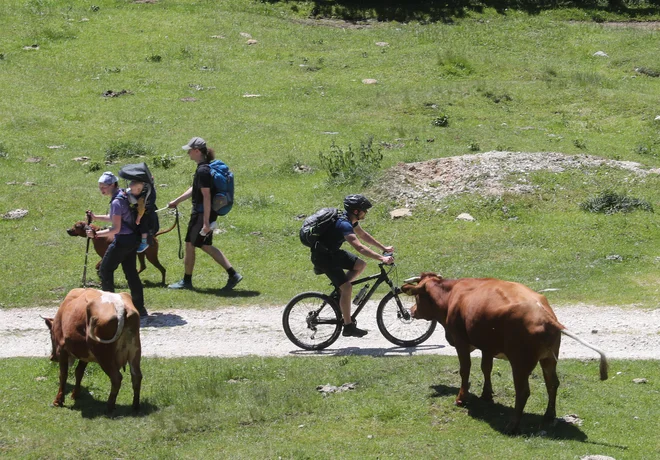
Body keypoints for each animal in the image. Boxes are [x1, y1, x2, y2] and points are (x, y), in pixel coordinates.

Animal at [400, 272, 604, 434]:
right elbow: (486, 368)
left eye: (417, 298)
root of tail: (544, 314)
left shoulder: (460, 342)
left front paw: (461, 398)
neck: (451, 295)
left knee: (523, 392)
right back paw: (548, 416)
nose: (411, 311)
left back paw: (512, 426)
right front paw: (487, 395)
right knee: (552, 384)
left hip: (520, 364)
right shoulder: (487, 346)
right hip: (548, 359)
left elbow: (465, 370)